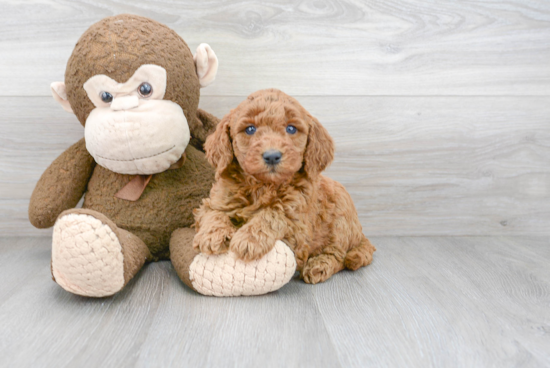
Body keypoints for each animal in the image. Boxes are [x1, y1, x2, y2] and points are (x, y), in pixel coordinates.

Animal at [192, 89, 378, 284]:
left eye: (291, 129)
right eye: (250, 129)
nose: (272, 156)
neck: (263, 186)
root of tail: (361, 234)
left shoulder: (299, 229)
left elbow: (274, 214)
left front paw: (249, 239)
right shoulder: (215, 201)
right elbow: (213, 212)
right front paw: (211, 234)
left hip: (341, 219)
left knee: (338, 254)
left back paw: (319, 265)